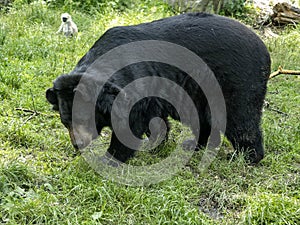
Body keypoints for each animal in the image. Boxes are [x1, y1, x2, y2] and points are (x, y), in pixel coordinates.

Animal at [45, 12, 270, 163]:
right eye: (65, 121)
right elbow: (153, 117)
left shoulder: (133, 83)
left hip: (235, 80)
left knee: (240, 118)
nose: (77, 145)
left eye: (83, 119)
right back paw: (193, 144)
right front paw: (156, 143)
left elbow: (130, 122)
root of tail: (264, 51)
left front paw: (110, 158)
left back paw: (247, 156)